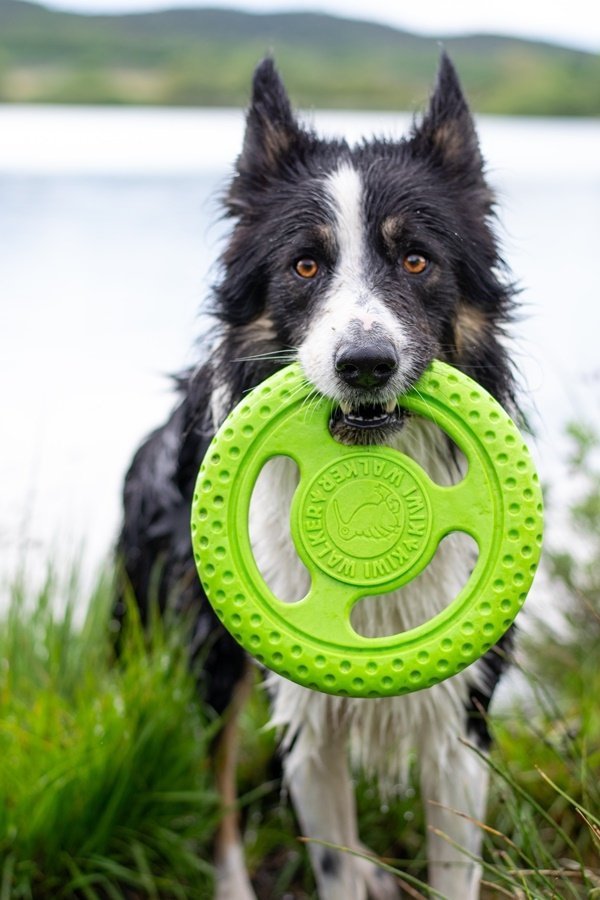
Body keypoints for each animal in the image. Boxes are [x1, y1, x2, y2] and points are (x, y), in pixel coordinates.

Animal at [116, 56, 516, 900]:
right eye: (305, 264)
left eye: (416, 260)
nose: (365, 364)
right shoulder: (301, 712)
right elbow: (325, 856)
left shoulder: (461, 713)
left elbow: (453, 863)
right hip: (211, 656)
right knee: (218, 789)